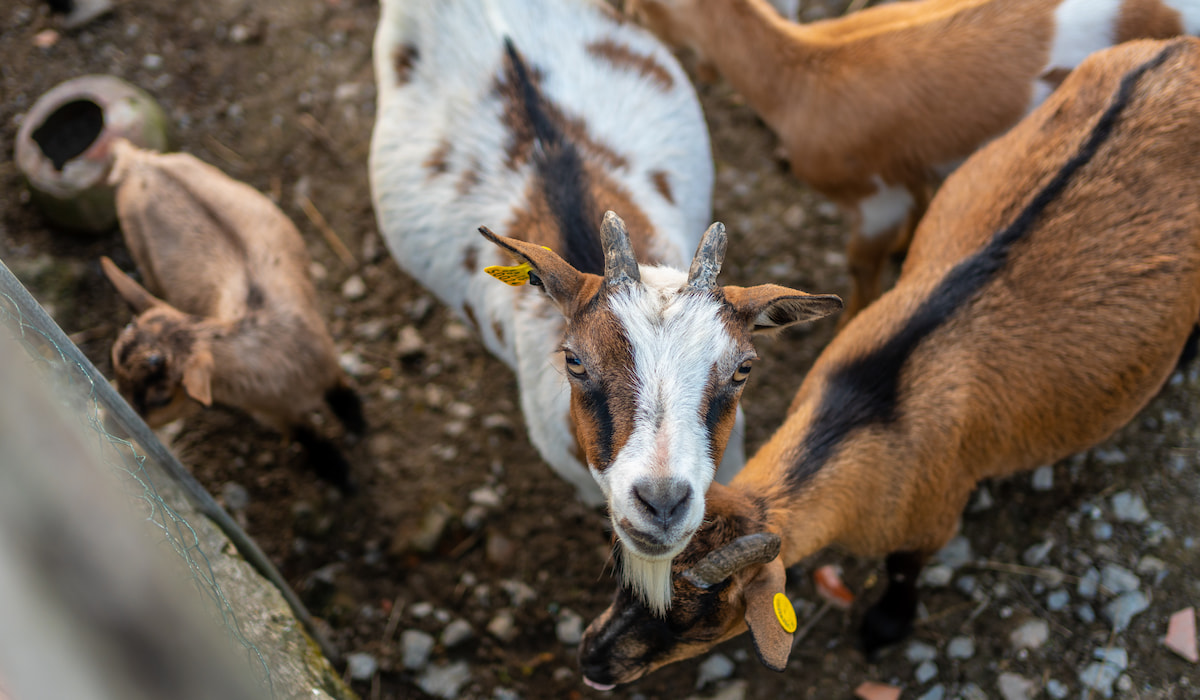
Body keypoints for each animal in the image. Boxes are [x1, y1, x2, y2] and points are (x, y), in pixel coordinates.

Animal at [100, 140, 362, 489]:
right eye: (116, 374)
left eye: (161, 399)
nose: (108, 424)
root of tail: (137, 161)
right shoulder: (275, 412)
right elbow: (309, 436)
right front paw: (338, 469)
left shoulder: (326, 365)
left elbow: (336, 401)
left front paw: (355, 429)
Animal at [576, 35, 1200, 686]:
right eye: (622, 580)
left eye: (697, 622)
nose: (591, 659)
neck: (869, 412)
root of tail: (1180, 49)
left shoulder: (931, 516)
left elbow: (904, 572)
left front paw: (884, 627)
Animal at [624, 0, 1200, 321]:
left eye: (645, 6)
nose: (632, 19)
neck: (802, 73)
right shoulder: (913, 168)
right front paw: (910, 245)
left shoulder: (875, 196)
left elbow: (861, 263)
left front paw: (850, 318)